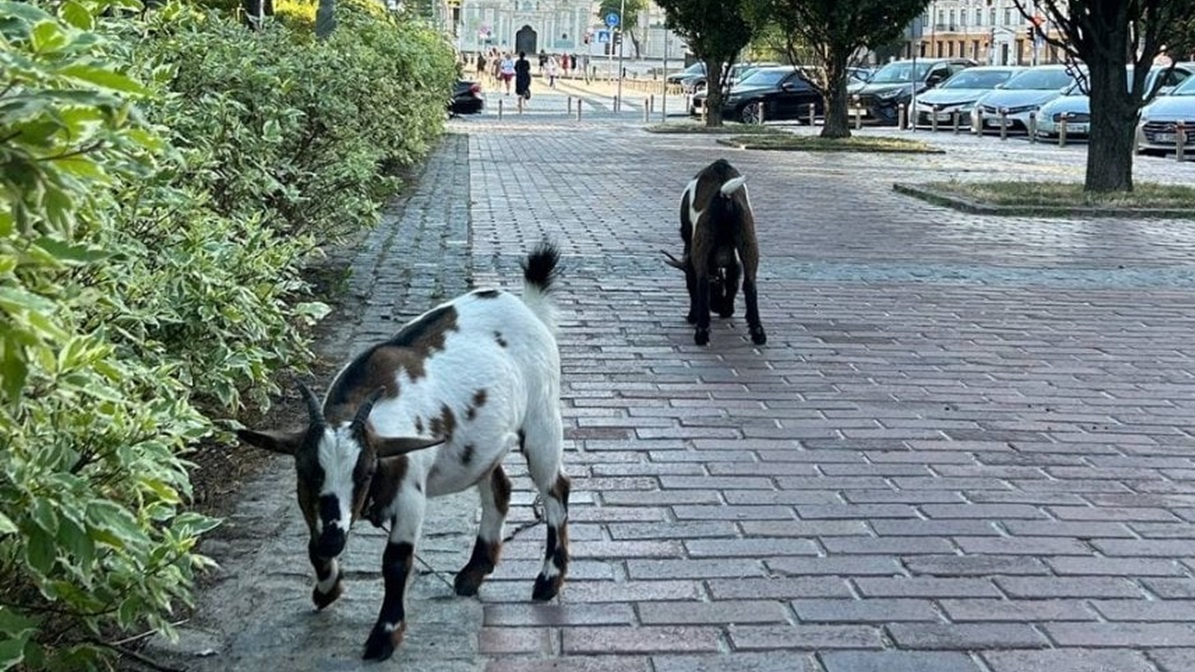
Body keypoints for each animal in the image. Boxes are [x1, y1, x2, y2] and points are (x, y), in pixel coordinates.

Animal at [236, 241, 568, 660]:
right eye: (307, 472)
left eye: (365, 472)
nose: (335, 540)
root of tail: (525, 305)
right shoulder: (313, 505)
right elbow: (313, 549)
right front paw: (327, 589)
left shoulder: (411, 494)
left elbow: (395, 562)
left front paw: (384, 636)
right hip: (484, 443)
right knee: (499, 488)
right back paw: (472, 574)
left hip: (542, 417)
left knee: (555, 490)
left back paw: (547, 581)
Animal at [664, 157, 764, 344]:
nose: (718, 308)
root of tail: (724, 195)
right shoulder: (733, 257)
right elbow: (733, 276)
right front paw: (728, 309)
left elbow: (692, 281)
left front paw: (693, 316)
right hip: (748, 237)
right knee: (750, 283)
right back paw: (758, 332)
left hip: (702, 240)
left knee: (702, 282)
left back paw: (701, 332)